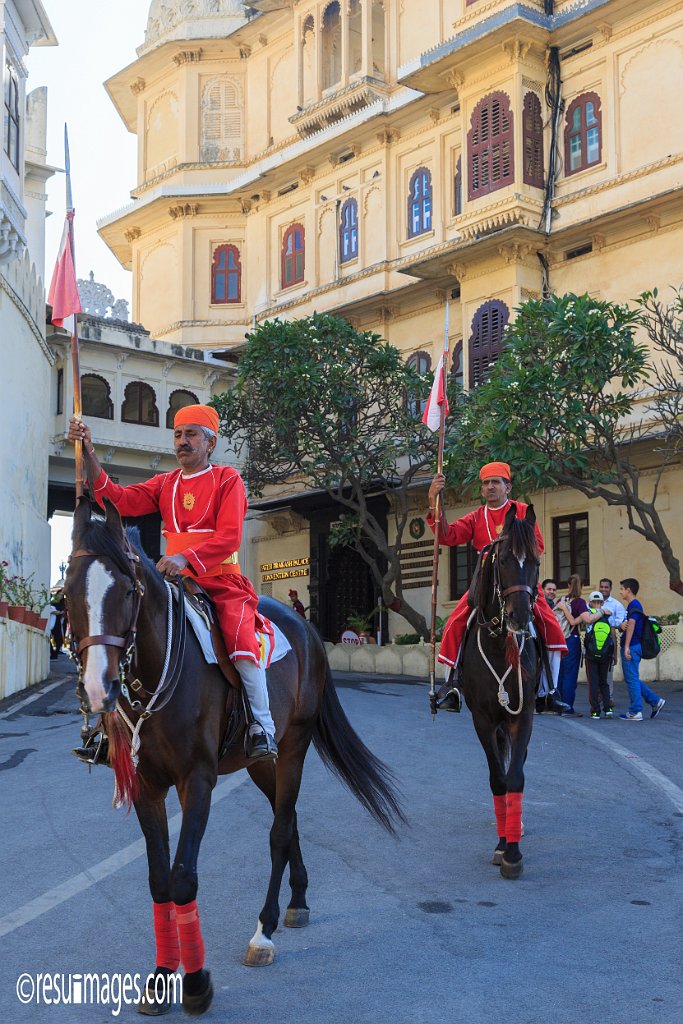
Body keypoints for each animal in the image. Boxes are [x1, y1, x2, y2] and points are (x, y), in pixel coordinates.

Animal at [63, 497, 403, 1015]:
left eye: (125, 590)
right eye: (67, 593)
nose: (100, 689)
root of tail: (305, 627)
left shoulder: (197, 780)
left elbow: (184, 877)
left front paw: (196, 982)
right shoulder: (147, 786)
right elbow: (159, 879)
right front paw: (161, 976)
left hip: (292, 748)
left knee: (280, 831)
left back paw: (264, 931)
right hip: (259, 762)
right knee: (289, 818)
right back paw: (298, 900)